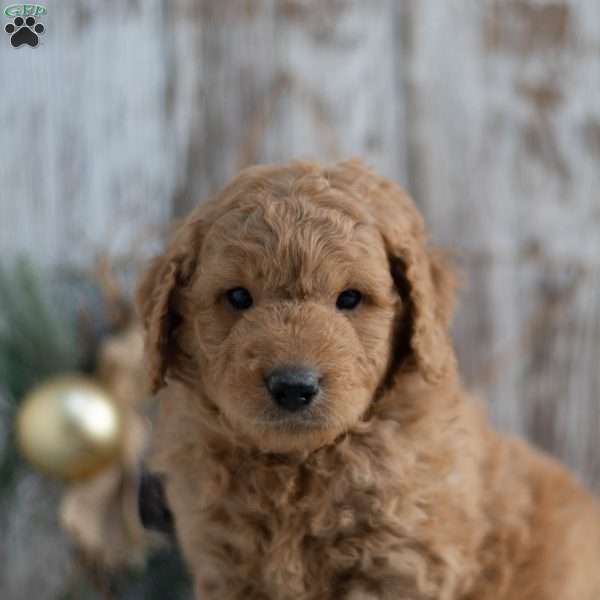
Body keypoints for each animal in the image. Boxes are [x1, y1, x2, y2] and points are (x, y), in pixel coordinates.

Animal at [136, 161, 600, 600]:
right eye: (237, 297)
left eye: (350, 299)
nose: (293, 386)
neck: (299, 468)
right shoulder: (225, 562)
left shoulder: (400, 564)